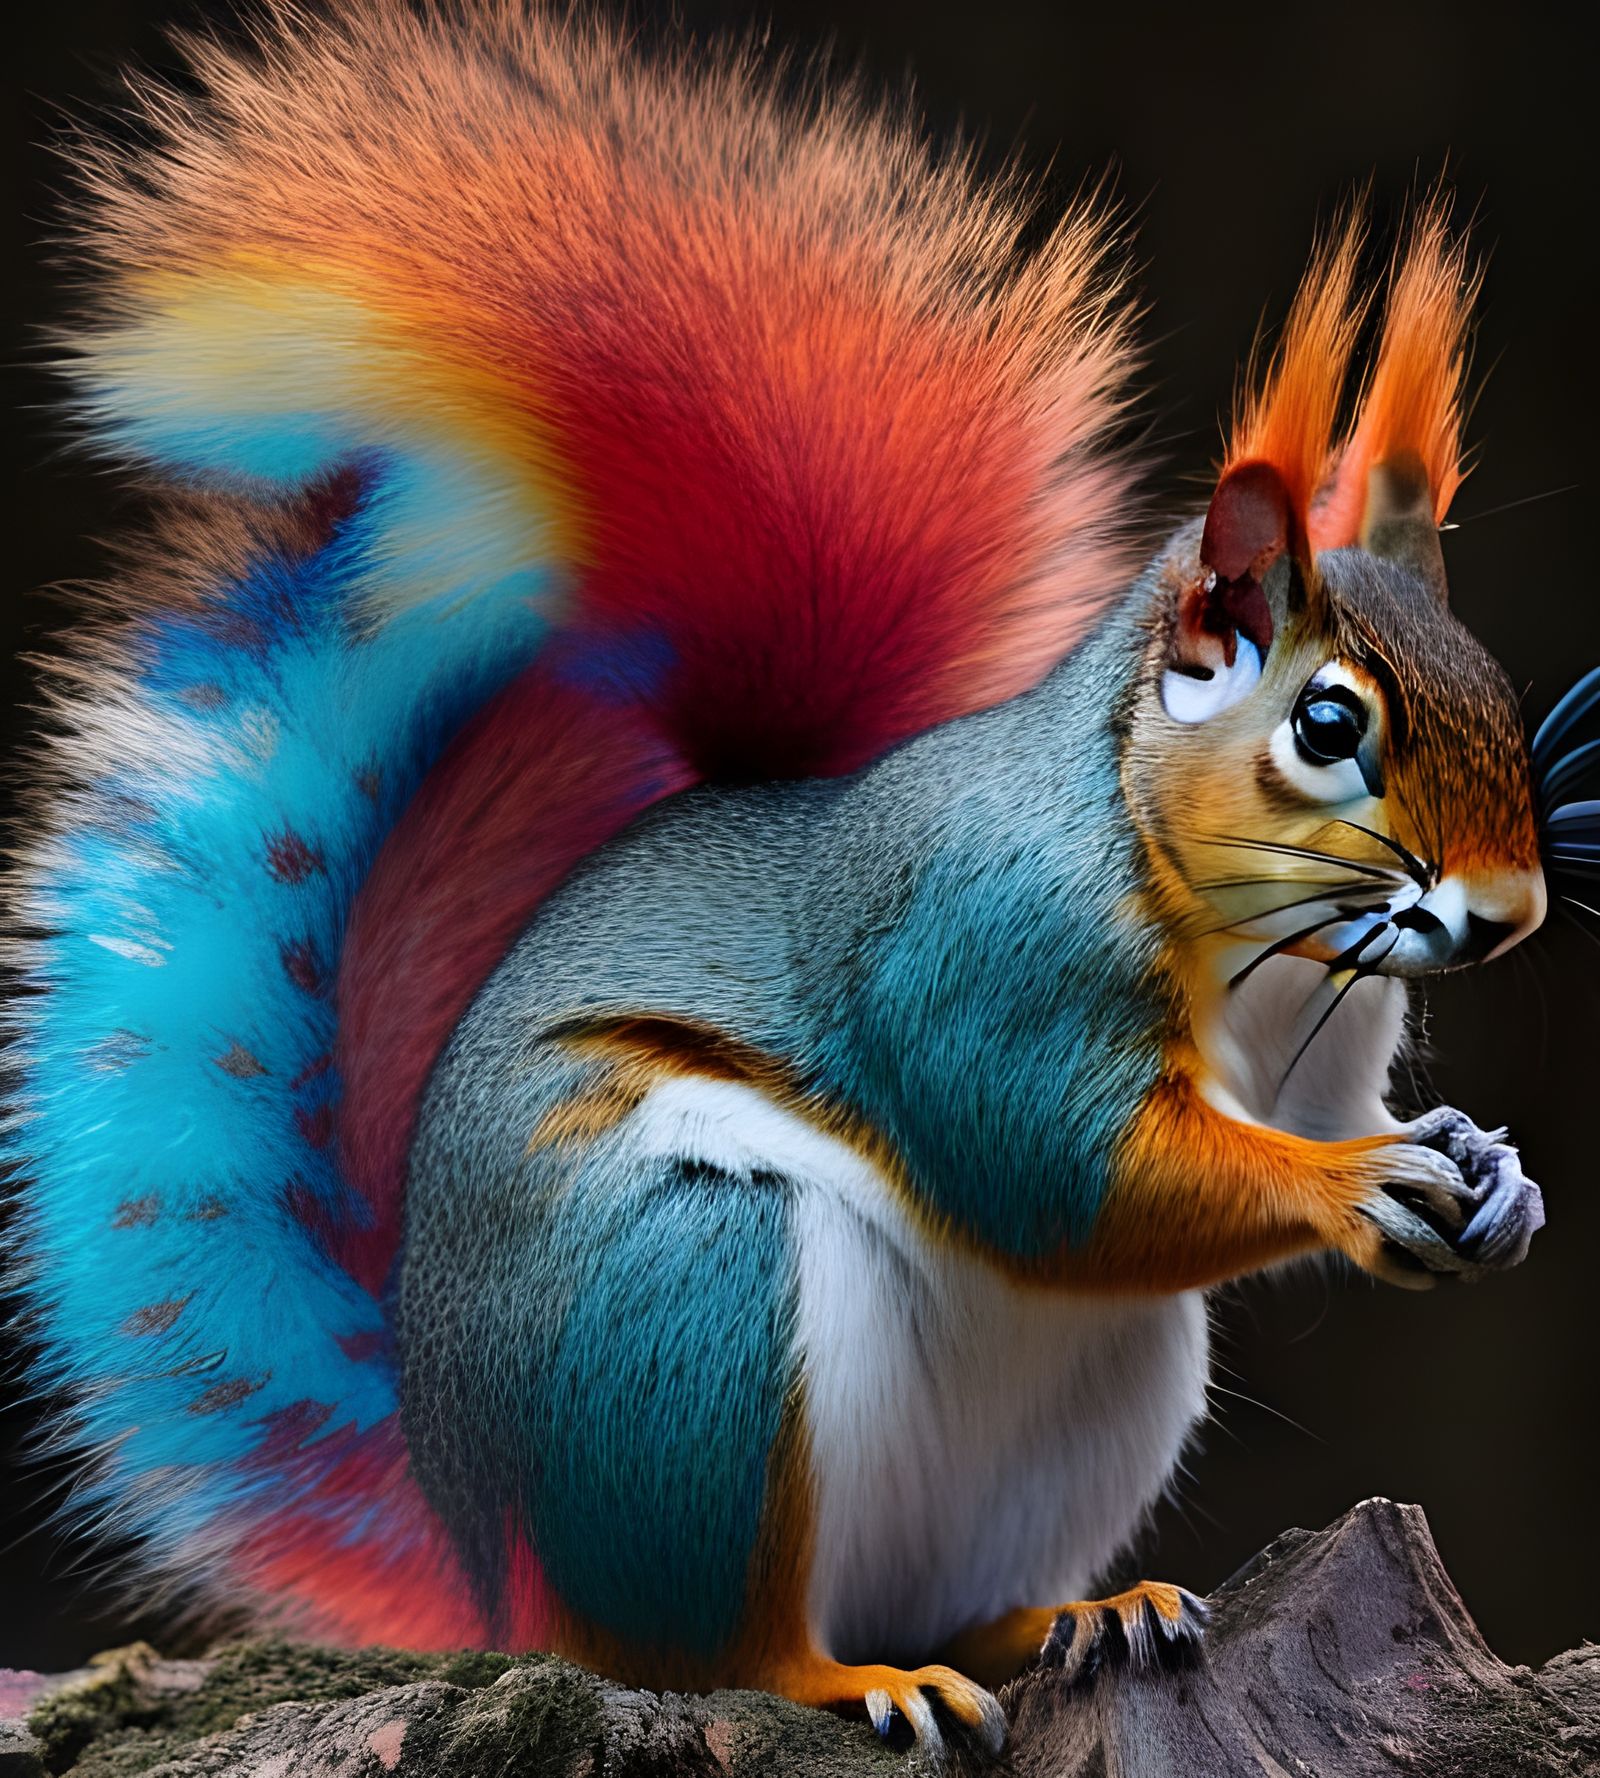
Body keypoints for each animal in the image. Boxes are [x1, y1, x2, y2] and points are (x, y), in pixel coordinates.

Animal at [6, 0, 1598, 1756]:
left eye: (1494, 678)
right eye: (1328, 724)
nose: (1509, 912)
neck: (1245, 931)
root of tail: (498, 1559)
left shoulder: (1317, 1035)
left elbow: (1310, 1118)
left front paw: (1491, 1172)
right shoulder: (984, 944)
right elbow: (1061, 1170)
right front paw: (1358, 1186)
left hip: (1093, 1397)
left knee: (961, 1593)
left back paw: (1081, 1612)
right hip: (692, 1313)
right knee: (721, 1646)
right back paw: (852, 1675)